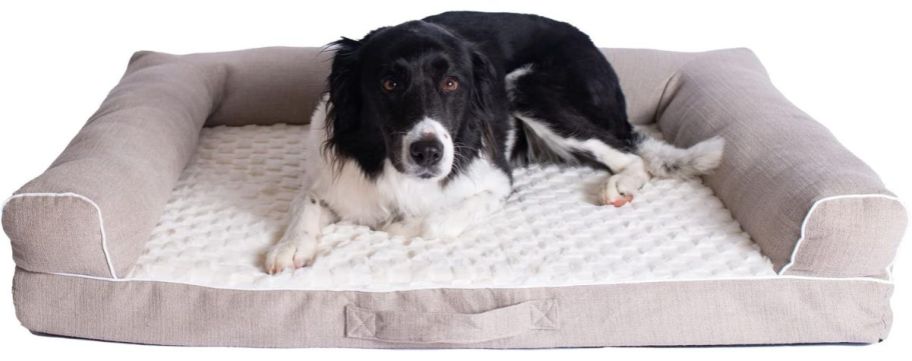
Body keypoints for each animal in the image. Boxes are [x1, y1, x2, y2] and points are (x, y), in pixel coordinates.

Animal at [266, 10, 728, 272]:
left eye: (452, 83)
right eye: (389, 83)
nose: (428, 153)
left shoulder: (495, 184)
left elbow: (432, 222)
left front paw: (400, 225)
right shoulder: (328, 177)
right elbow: (305, 204)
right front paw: (290, 246)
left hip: (527, 88)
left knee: (633, 154)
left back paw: (621, 185)